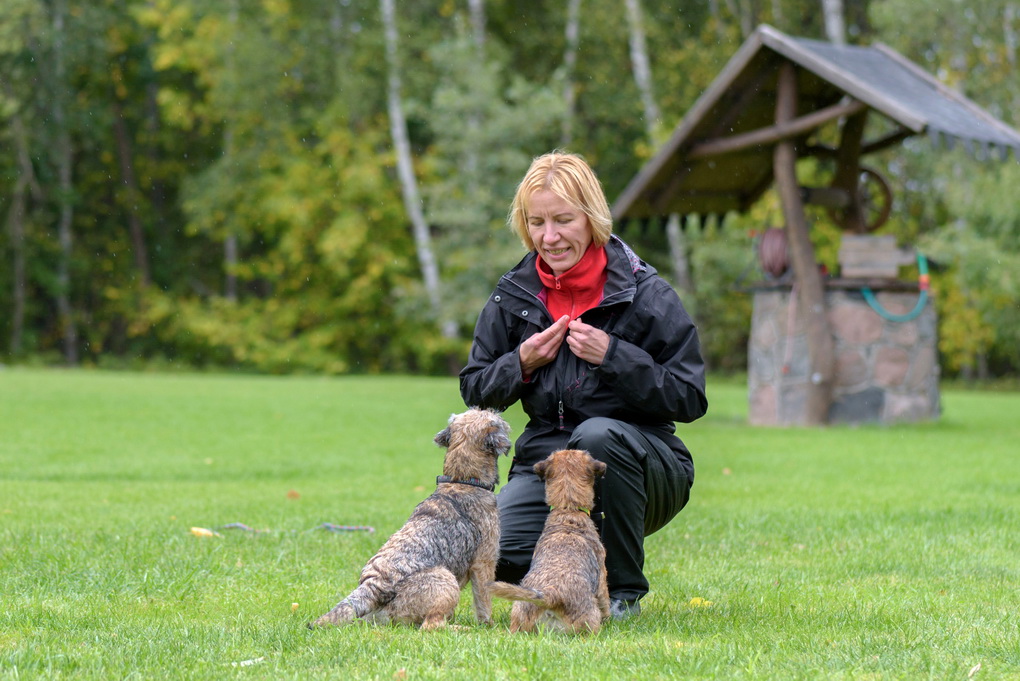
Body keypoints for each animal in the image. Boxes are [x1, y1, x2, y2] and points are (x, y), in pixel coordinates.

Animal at [308, 407, 510, 632]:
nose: (498, 409)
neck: (462, 481)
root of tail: (374, 584)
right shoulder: (484, 562)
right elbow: (484, 601)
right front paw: (488, 625)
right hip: (445, 579)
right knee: (432, 625)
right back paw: (464, 629)